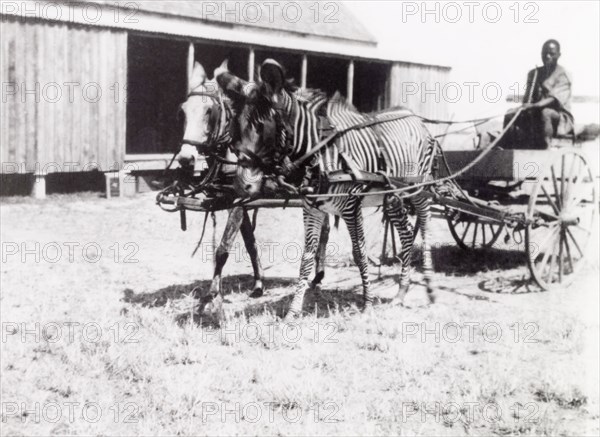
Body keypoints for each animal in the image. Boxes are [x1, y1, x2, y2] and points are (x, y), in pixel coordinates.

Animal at [173, 61, 332, 314]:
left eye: (209, 112)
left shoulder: (239, 202)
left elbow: (223, 248)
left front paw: (212, 294)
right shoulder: (239, 200)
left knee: (325, 231)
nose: (185, 159)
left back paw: (317, 277)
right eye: (183, 111)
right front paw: (258, 284)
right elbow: (250, 243)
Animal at [216, 58, 436, 316]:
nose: (242, 186)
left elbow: (359, 253)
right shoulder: (312, 208)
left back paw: (430, 286)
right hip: (392, 196)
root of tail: (415, 118)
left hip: (419, 188)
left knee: (425, 225)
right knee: (406, 233)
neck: (318, 153)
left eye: (262, 128)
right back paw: (401, 292)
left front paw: (367, 303)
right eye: (235, 128)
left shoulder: (351, 207)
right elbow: (307, 258)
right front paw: (293, 312)